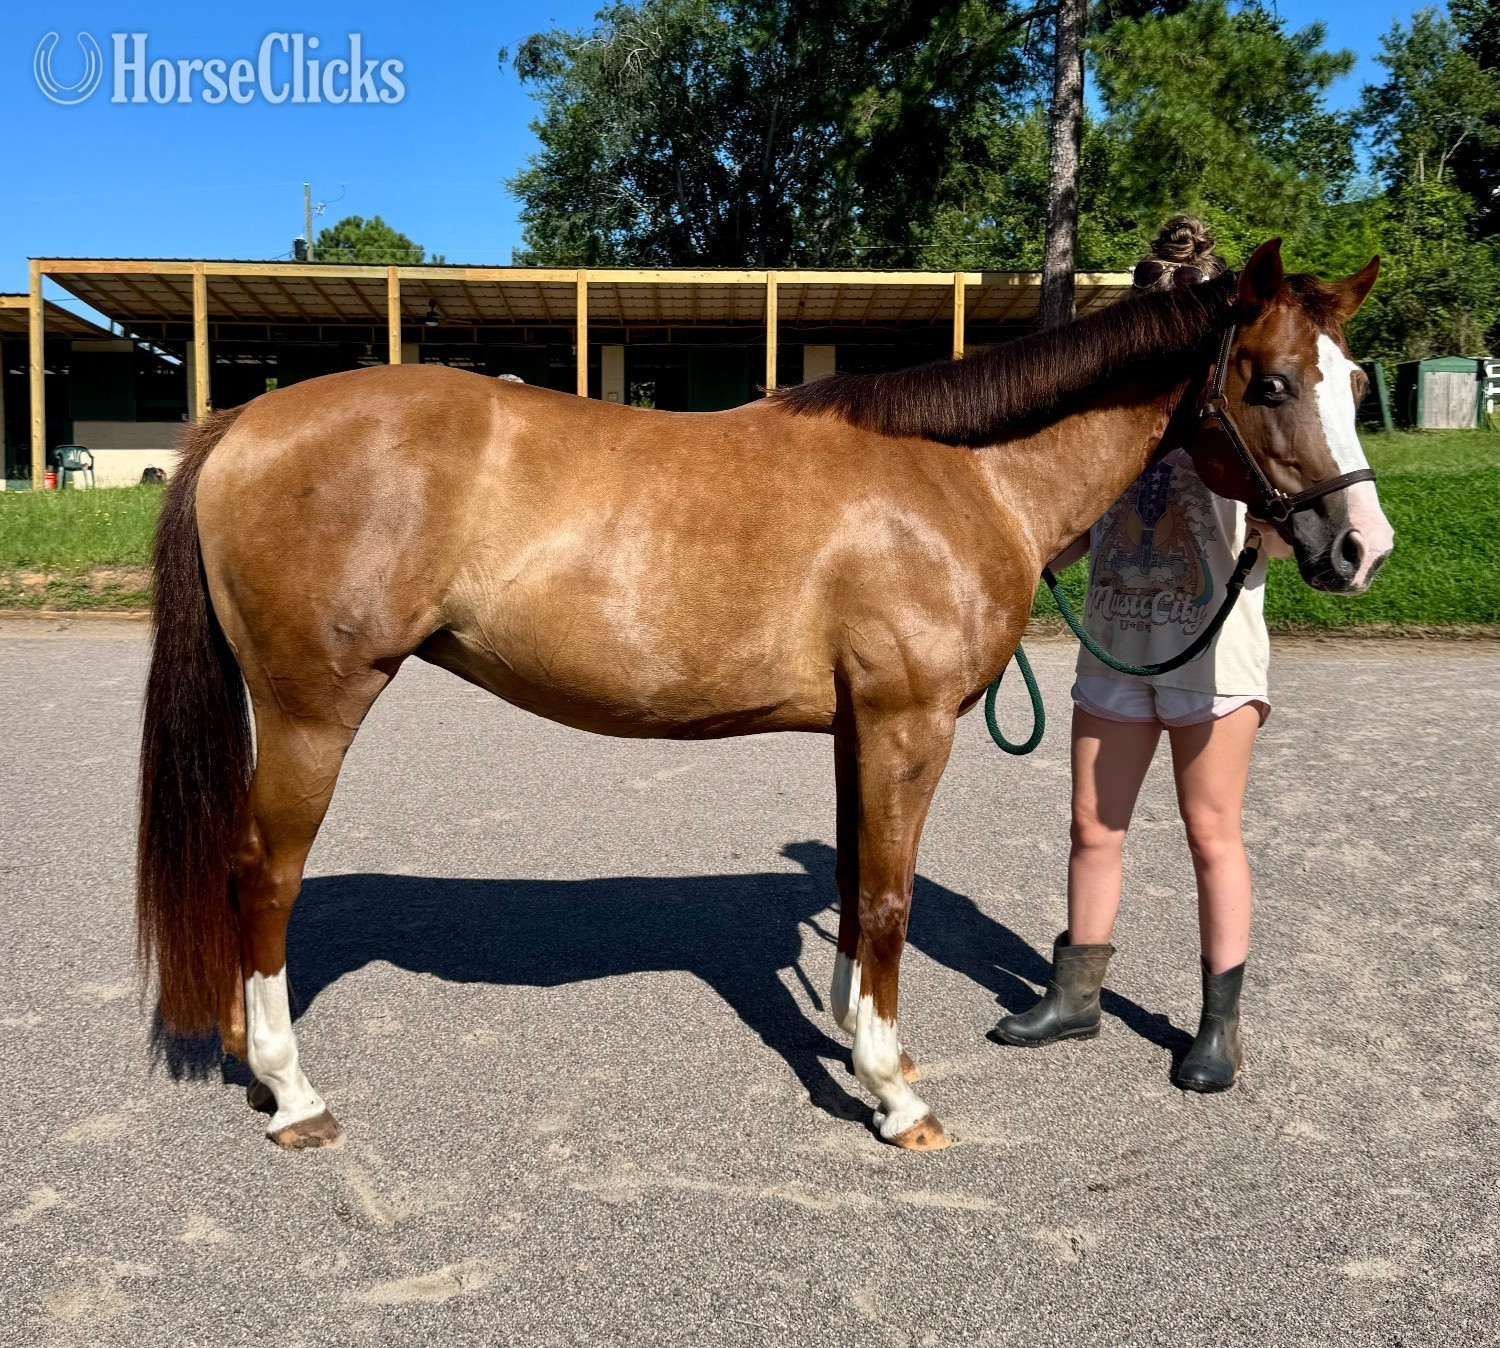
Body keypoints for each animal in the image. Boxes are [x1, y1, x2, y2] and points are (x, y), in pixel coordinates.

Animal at [137, 239, 1392, 1152]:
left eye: (1357, 381)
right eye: (1272, 382)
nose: (1359, 546)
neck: (962, 472)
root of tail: (242, 421)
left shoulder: (857, 728)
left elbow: (853, 877)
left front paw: (861, 1044)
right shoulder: (906, 726)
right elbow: (885, 896)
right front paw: (894, 1093)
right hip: (313, 710)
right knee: (264, 877)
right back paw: (294, 1093)